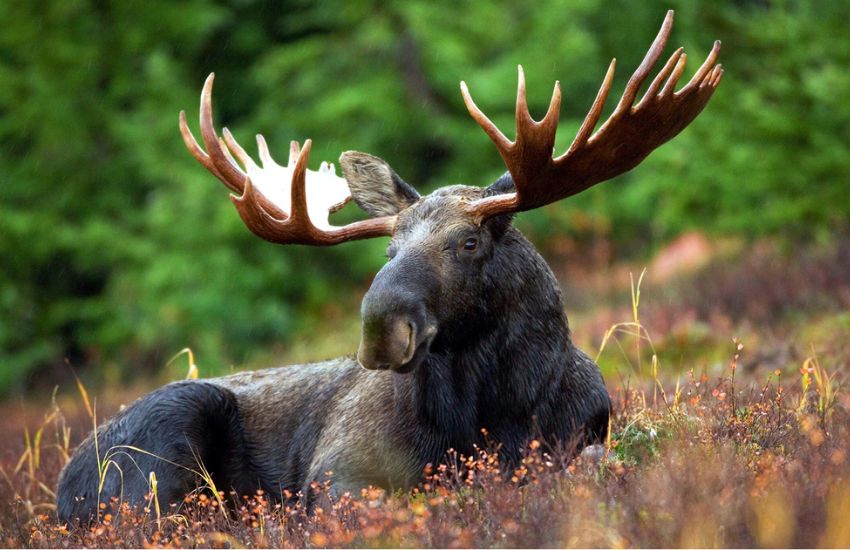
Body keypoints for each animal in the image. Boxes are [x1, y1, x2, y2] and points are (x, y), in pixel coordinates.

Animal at [58, 10, 724, 524]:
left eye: (469, 243)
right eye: (389, 250)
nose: (380, 328)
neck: (496, 413)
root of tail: (63, 489)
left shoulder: (584, 436)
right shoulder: (337, 473)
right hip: (165, 444)